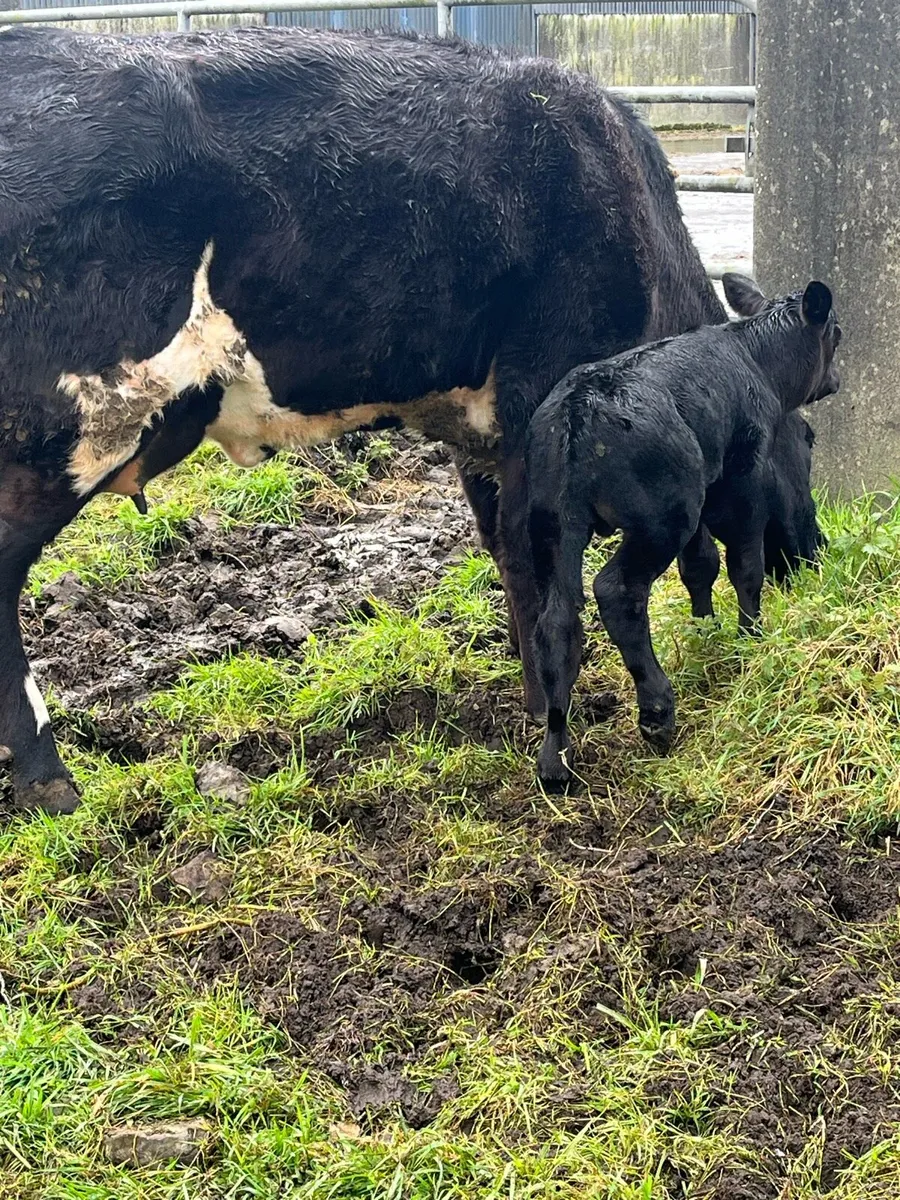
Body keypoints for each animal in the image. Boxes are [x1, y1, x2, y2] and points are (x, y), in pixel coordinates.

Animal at [0, 24, 742, 813]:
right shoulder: (538, 402)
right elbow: (537, 568)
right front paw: (553, 719)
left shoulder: (485, 437)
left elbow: (505, 552)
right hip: (72, 425)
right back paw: (49, 780)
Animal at [527, 273, 841, 791]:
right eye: (836, 334)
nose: (835, 379)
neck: (754, 358)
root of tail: (578, 411)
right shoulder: (739, 484)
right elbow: (744, 566)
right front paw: (750, 638)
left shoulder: (705, 491)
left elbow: (700, 566)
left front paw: (705, 630)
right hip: (660, 517)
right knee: (616, 591)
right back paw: (657, 713)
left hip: (552, 522)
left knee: (556, 620)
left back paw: (555, 759)